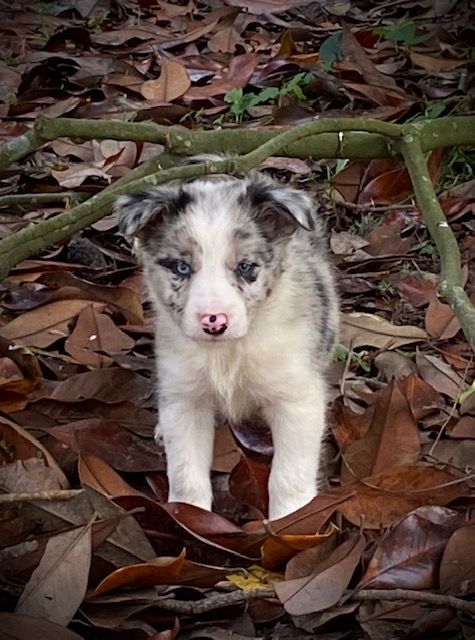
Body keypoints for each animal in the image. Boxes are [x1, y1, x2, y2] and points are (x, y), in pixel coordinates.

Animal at [116, 159, 339, 520]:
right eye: (181, 267)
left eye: (246, 267)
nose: (214, 321)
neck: (228, 352)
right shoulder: (185, 398)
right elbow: (186, 474)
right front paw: (188, 517)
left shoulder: (296, 397)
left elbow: (289, 475)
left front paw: (291, 520)